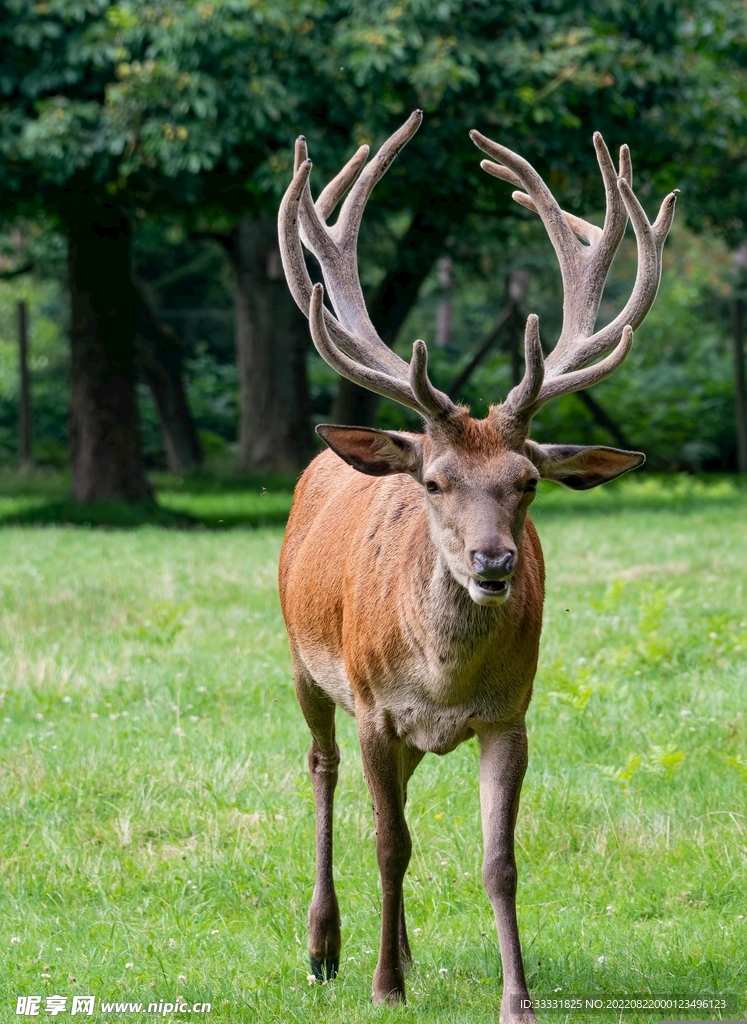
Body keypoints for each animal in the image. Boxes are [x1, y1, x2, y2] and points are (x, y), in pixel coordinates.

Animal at [277, 110, 675, 1021]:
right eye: (434, 481)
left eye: (526, 481)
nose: (493, 561)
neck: (440, 677)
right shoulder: (374, 707)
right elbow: (388, 843)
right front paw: (383, 987)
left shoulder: (510, 715)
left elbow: (499, 862)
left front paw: (514, 999)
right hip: (305, 664)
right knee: (323, 772)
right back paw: (325, 946)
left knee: (399, 796)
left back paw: (401, 947)